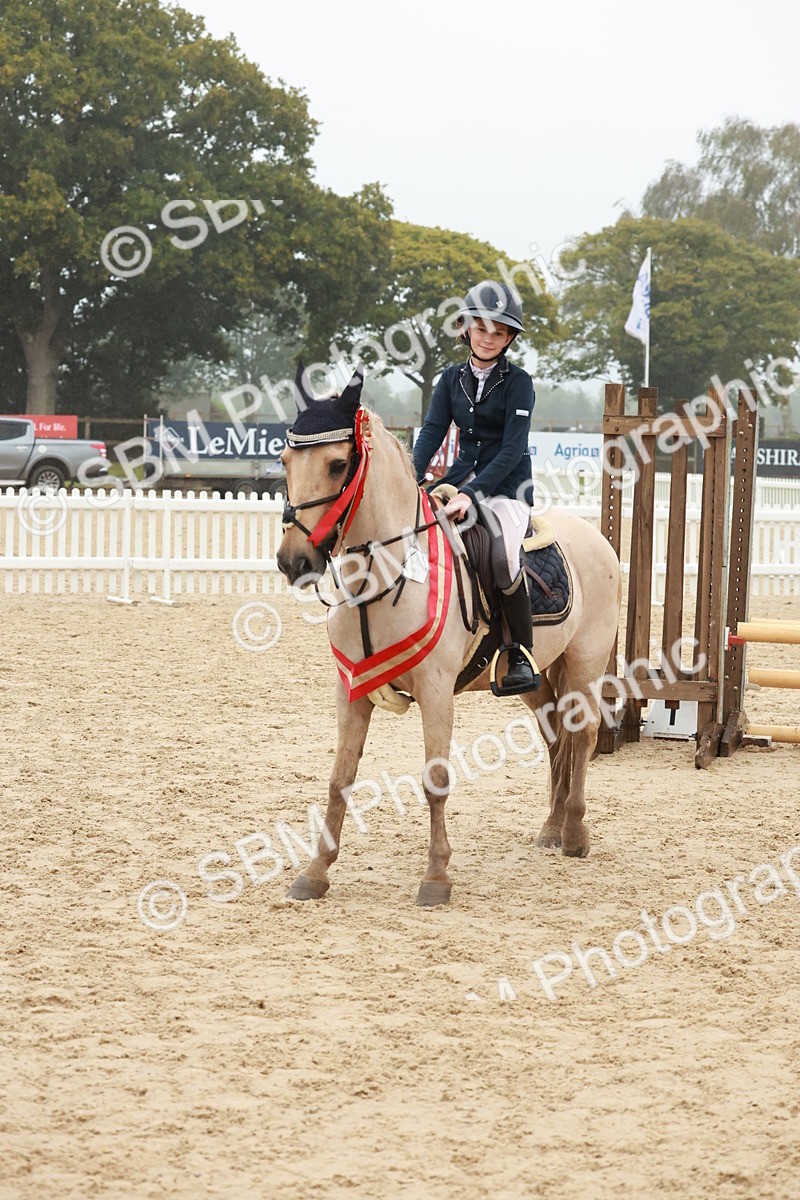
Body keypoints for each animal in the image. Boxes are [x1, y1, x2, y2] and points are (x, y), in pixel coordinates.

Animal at [276, 382, 622, 907]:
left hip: (585, 664)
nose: (293, 561)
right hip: (537, 677)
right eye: (284, 461)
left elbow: (435, 780)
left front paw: (436, 877)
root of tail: (594, 536)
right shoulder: (351, 692)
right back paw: (551, 827)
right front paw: (315, 873)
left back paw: (576, 835)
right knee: (554, 736)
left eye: (337, 464)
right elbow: (340, 779)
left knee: (581, 736)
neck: (384, 575)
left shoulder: (437, 692)